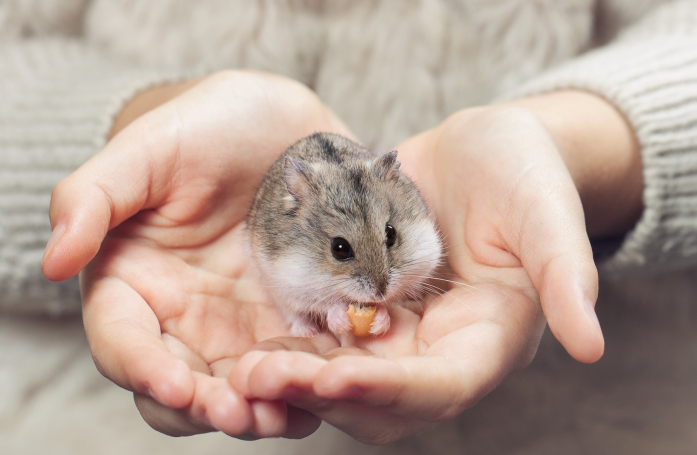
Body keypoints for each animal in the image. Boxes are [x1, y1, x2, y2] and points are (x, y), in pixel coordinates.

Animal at [247, 133, 442, 337]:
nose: (380, 294)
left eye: (391, 233)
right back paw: (308, 332)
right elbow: (325, 305)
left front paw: (381, 320)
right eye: (339, 248)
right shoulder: (290, 284)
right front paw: (339, 320)